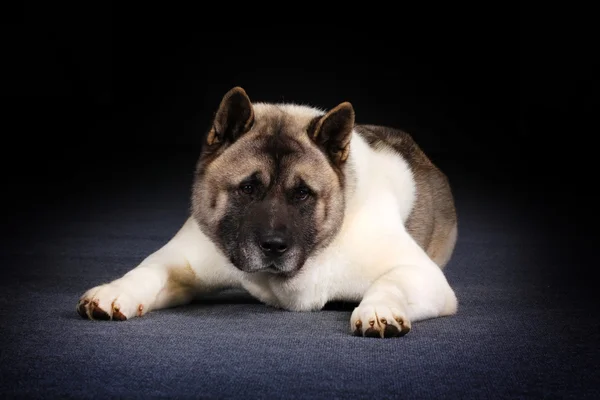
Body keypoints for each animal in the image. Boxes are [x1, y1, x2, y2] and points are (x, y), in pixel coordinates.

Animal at [76, 86, 460, 338]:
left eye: (303, 194)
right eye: (248, 188)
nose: (274, 246)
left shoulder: (423, 276)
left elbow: (390, 282)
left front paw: (378, 309)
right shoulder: (182, 262)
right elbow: (147, 271)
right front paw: (115, 292)